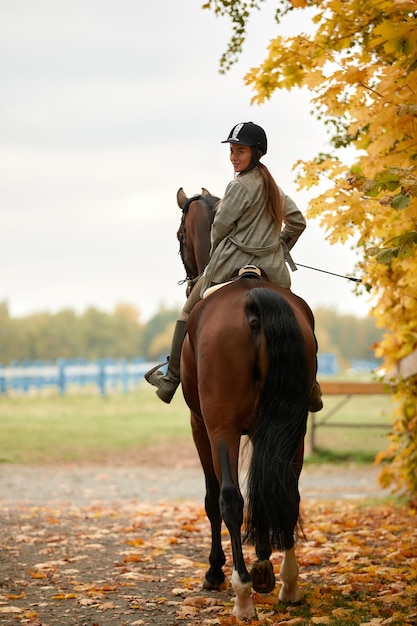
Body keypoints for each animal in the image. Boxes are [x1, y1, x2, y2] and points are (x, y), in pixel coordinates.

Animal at [176, 188, 318, 616]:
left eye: (179, 236)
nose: (189, 279)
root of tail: (254, 298)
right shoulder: (262, 428)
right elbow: (266, 487)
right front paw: (264, 563)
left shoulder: (201, 426)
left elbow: (213, 498)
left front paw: (217, 572)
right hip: (293, 425)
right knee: (287, 490)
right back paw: (288, 583)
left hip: (220, 427)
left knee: (229, 499)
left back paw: (241, 594)